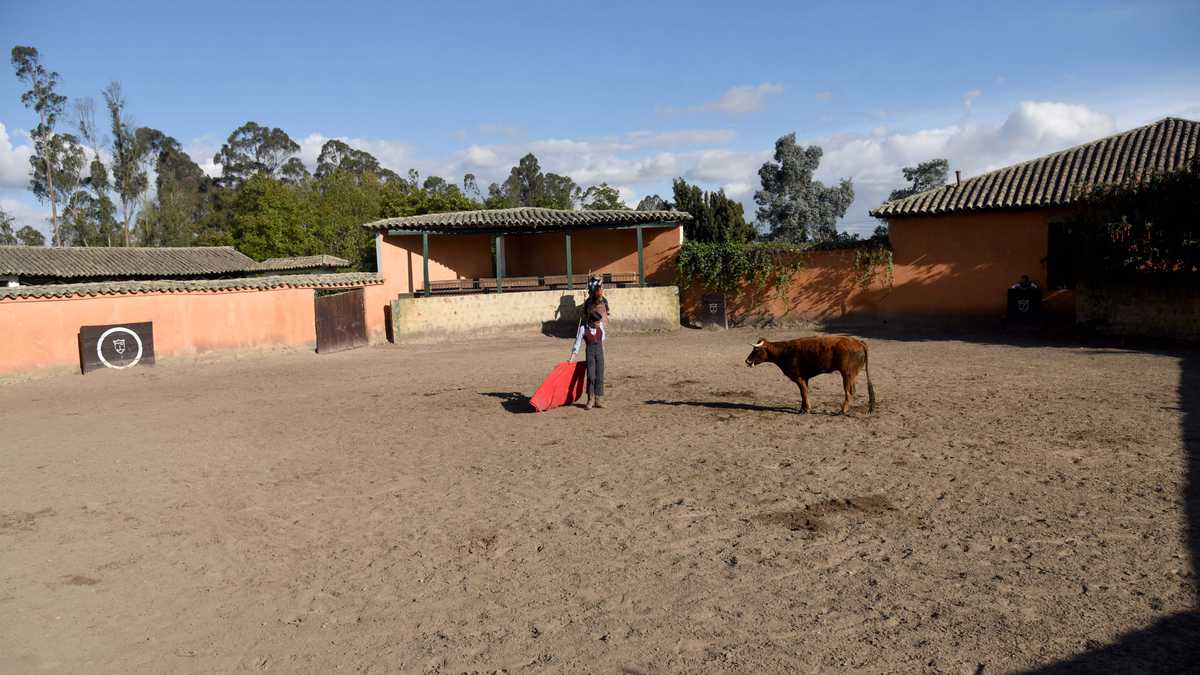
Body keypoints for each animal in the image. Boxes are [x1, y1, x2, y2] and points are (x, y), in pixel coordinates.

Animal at [744, 333, 878, 413]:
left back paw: (843, 410)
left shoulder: (799, 377)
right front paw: (803, 408)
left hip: (847, 373)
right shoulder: (805, 378)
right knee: (852, 390)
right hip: (852, 374)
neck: (785, 351)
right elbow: (805, 392)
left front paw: (805, 409)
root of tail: (858, 342)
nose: (747, 360)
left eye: (756, 349)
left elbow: (803, 392)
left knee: (849, 391)